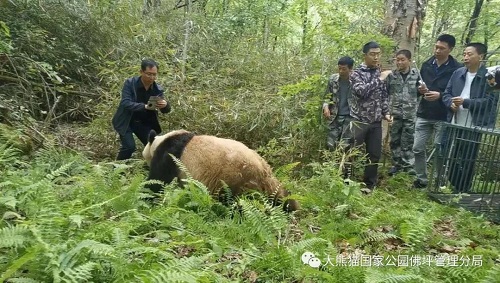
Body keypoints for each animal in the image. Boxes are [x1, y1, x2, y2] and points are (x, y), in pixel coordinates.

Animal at [141, 130, 298, 212]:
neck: (160, 141)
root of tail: (262, 172)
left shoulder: (169, 156)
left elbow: (157, 181)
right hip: (271, 183)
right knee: (282, 197)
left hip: (233, 180)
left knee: (237, 202)